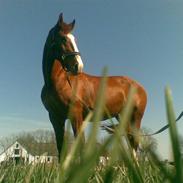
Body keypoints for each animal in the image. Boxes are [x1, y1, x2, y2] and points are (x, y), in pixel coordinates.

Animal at [41, 13, 147, 159]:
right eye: (63, 38)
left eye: (74, 39)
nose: (78, 66)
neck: (58, 81)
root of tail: (140, 87)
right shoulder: (55, 118)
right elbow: (60, 148)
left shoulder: (76, 115)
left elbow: (81, 146)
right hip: (123, 118)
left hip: (135, 118)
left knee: (134, 145)